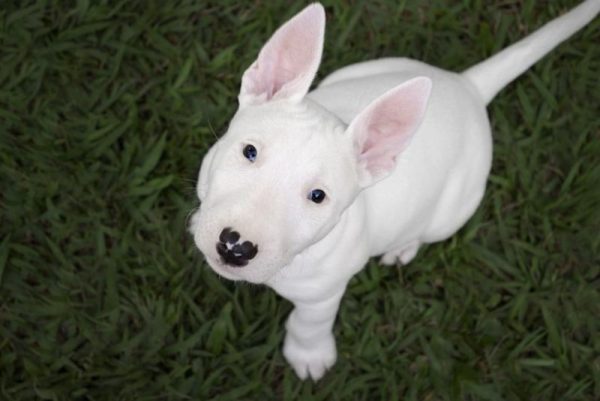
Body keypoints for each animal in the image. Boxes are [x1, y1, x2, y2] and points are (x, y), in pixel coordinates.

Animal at [191, 0, 600, 380]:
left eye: (318, 196)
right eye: (249, 151)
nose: (235, 246)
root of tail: (467, 85)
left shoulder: (324, 294)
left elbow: (310, 323)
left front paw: (309, 357)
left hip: (453, 208)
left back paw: (403, 248)